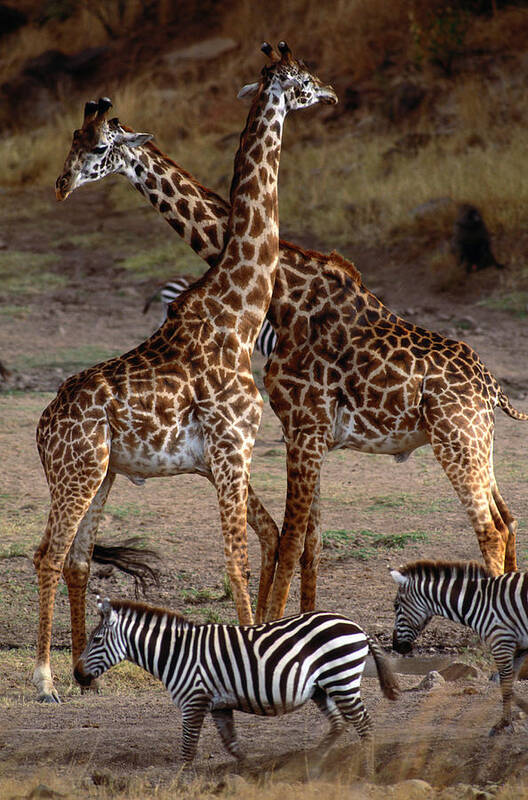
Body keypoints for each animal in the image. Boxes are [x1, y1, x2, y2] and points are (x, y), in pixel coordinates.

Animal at [75, 600, 400, 768]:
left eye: (97, 640)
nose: (77, 675)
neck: (177, 653)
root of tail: (356, 625)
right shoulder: (219, 705)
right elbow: (232, 745)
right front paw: (252, 772)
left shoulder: (194, 700)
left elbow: (188, 749)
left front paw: (181, 780)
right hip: (322, 688)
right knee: (339, 724)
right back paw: (314, 762)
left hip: (341, 679)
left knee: (364, 724)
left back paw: (366, 767)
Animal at [390, 560, 528, 736]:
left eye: (396, 606)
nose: (396, 646)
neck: (478, 601)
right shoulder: (519, 646)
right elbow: (507, 683)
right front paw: (519, 713)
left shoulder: (501, 641)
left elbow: (504, 683)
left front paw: (503, 724)